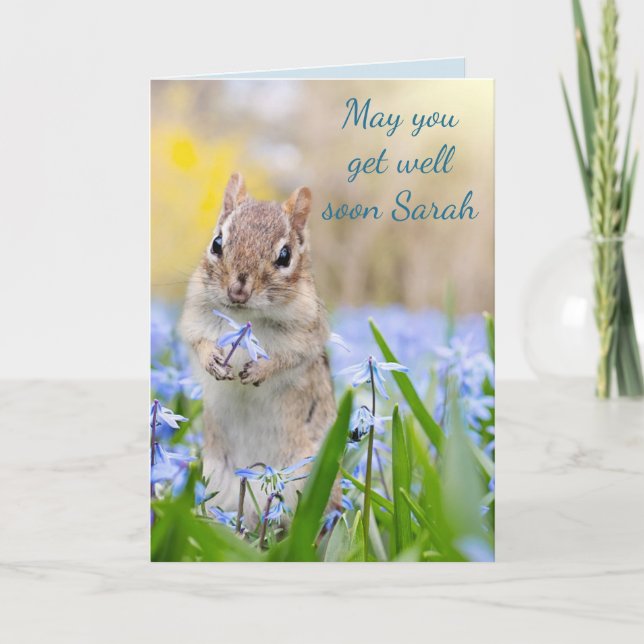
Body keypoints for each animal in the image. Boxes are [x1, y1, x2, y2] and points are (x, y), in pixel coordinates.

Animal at [180, 172, 337, 527]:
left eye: (285, 256)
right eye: (217, 243)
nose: (238, 290)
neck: (244, 316)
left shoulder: (306, 335)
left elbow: (287, 359)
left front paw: (259, 370)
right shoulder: (194, 319)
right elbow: (198, 342)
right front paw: (213, 361)